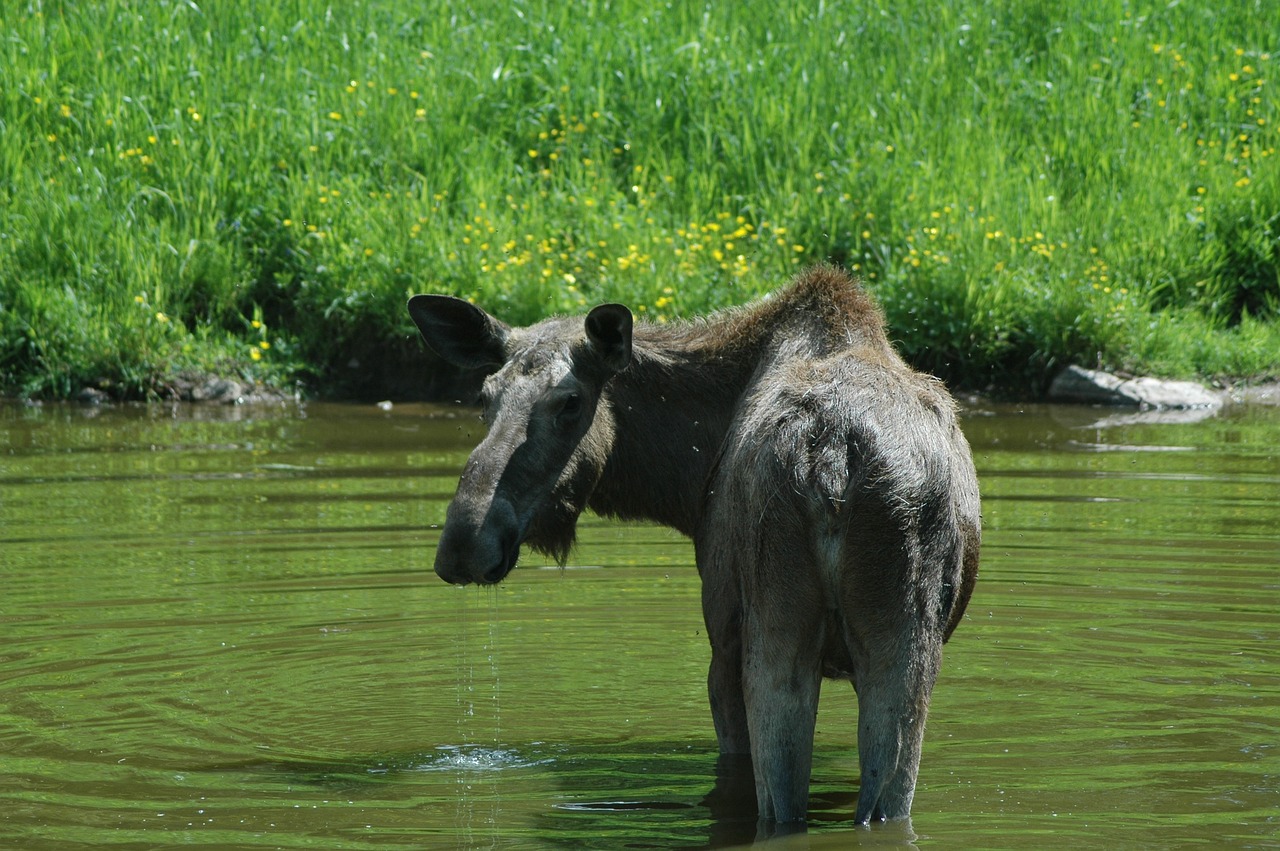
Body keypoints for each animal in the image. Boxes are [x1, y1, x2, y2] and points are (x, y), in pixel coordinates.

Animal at [409, 266, 977, 824]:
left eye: (571, 401)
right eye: (484, 397)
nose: (465, 545)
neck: (682, 481)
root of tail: (833, 457)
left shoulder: (721, 640)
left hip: (773, 629)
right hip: (899, 647)